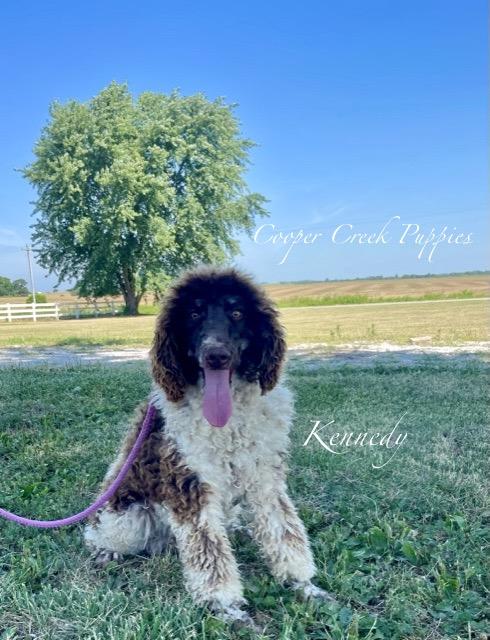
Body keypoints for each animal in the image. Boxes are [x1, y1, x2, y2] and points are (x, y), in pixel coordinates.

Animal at [84, 267, 333, 625]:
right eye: (194, 313)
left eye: (237, 312)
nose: (216, 355)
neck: (227, 422)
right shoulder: (190, 484)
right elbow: (210, 552)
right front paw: (225, 606)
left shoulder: (265, 477)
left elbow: (285, 531)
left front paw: (303, 584)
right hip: (131, 517)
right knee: (98, 534)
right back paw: (106, 549)